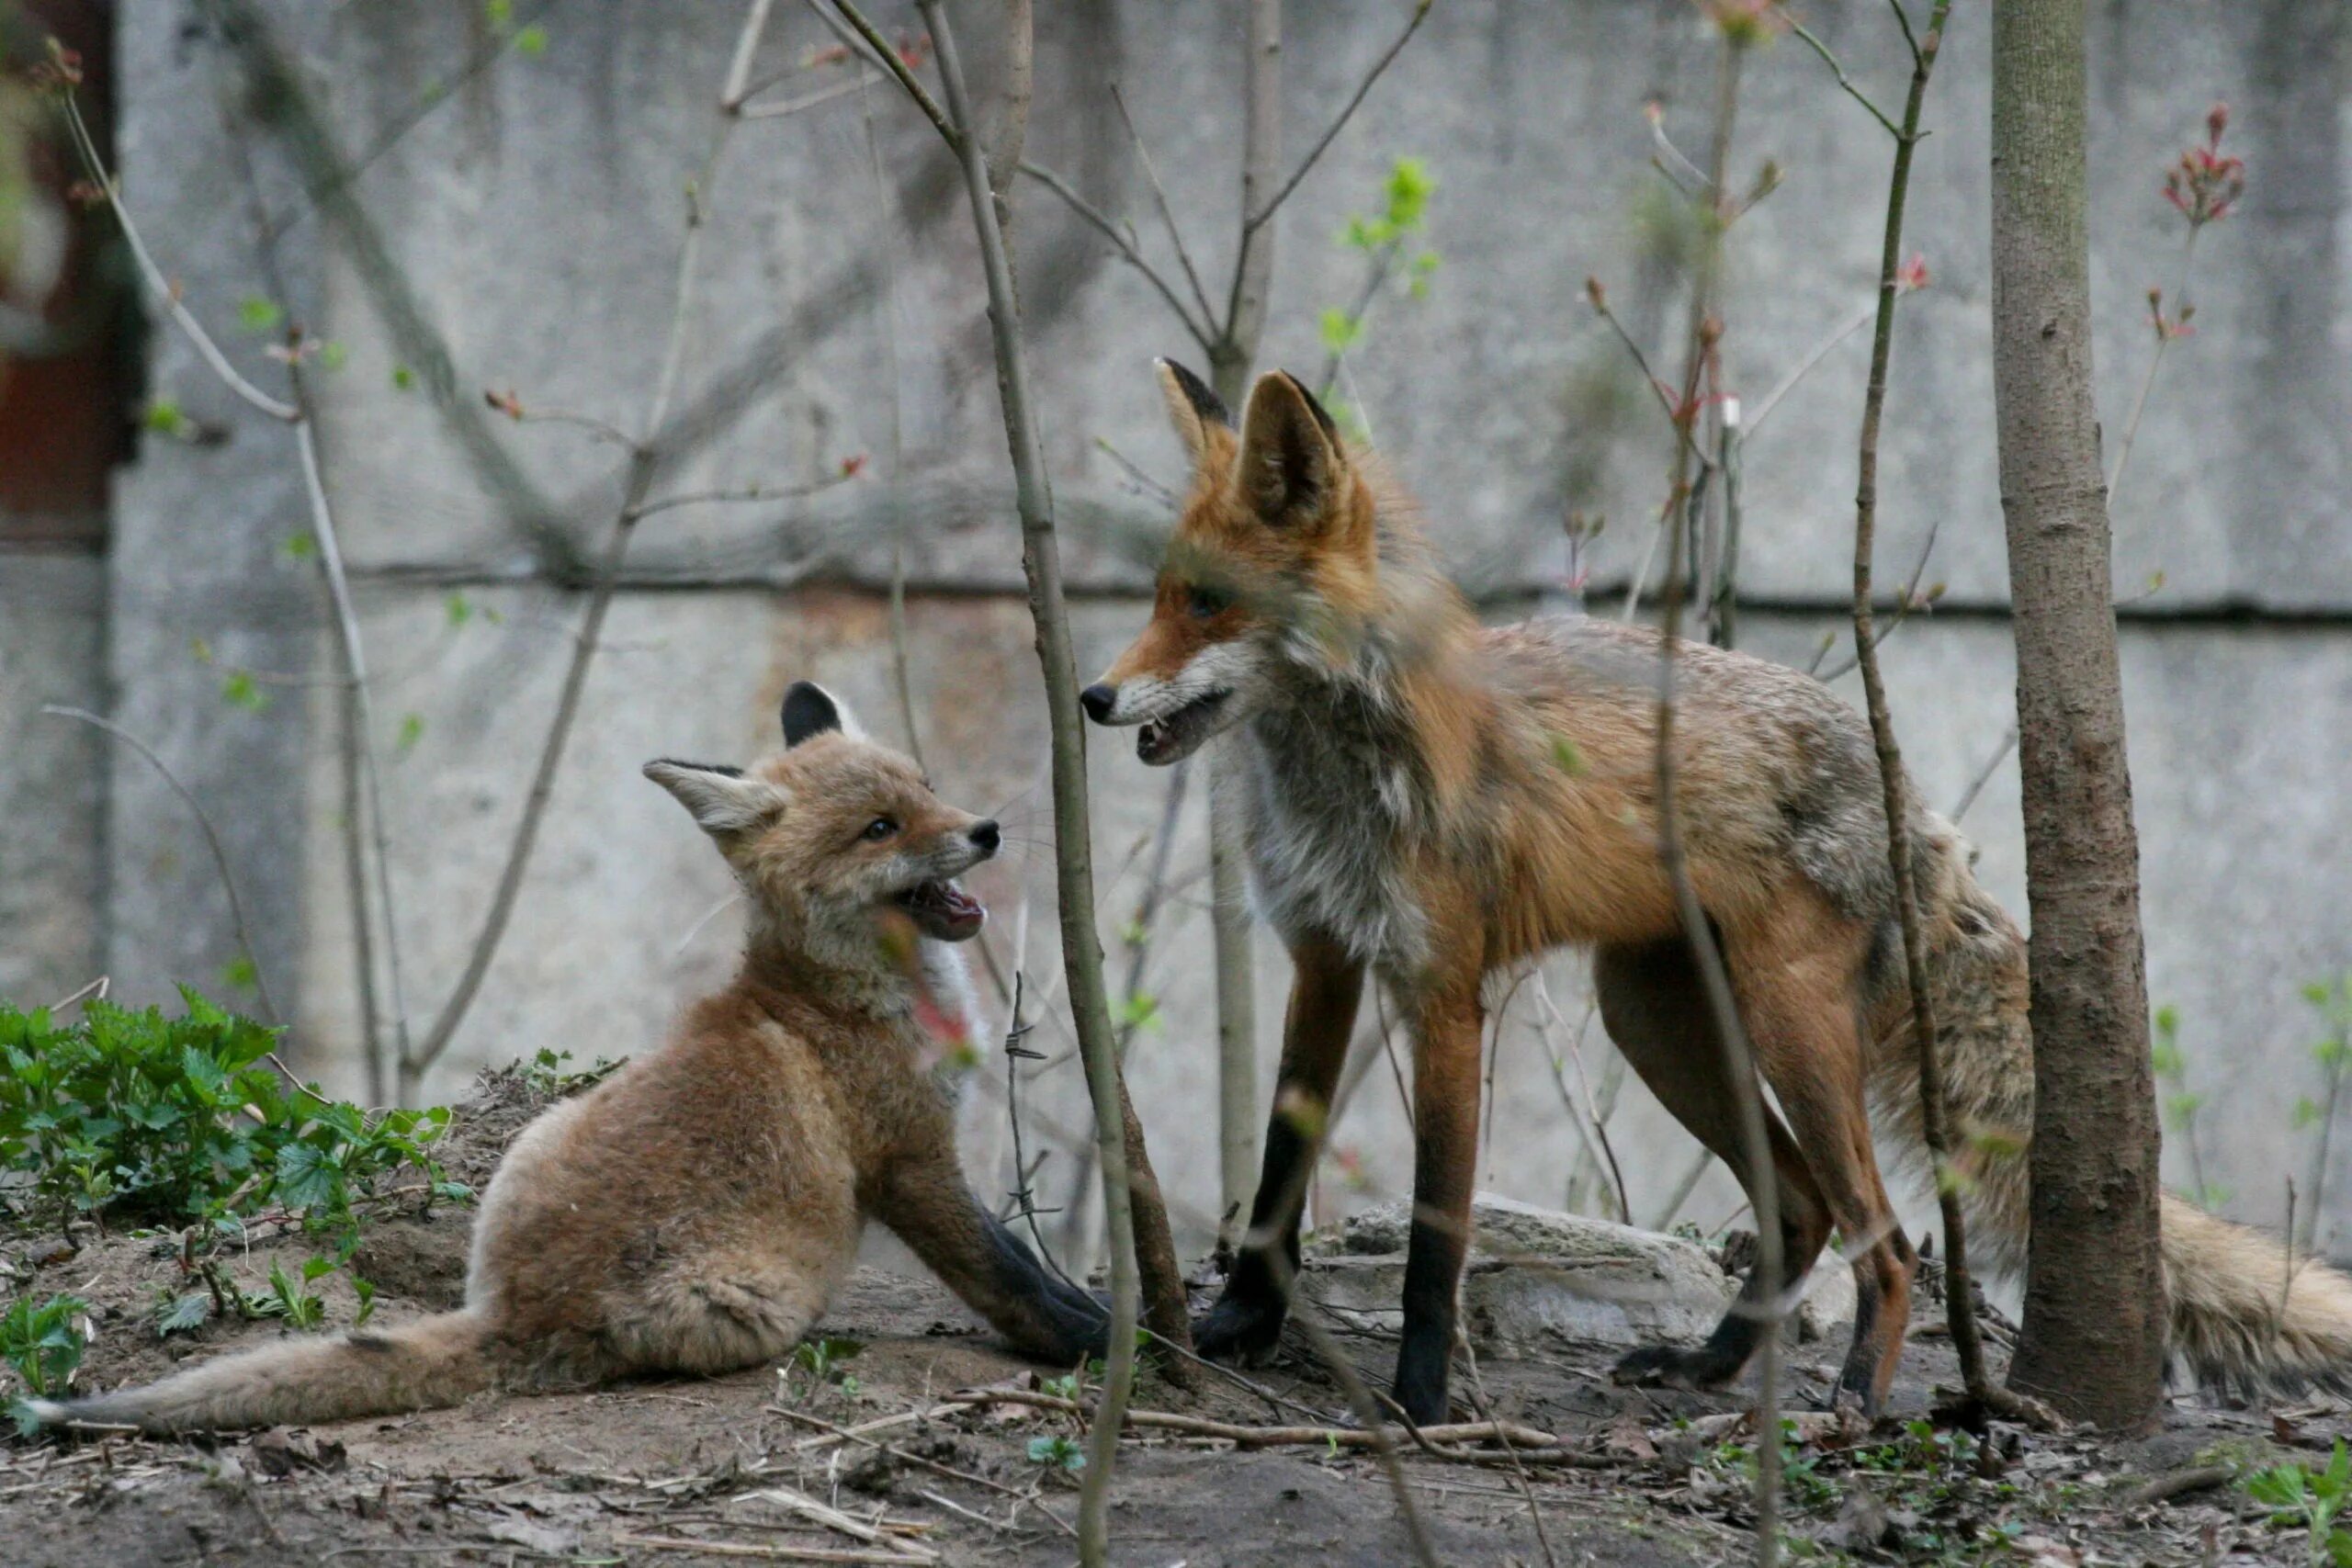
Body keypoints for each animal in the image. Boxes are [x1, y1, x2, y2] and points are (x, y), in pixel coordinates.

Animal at [29, 686, 1101, 1438]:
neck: (843, 996)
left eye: (926, 787)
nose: (987, 830)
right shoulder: (910, 1159)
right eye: (880, 828)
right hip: (757, 1301)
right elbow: (1013, 1277)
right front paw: (1110, 1343)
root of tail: (511, 1311)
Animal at [1077, 362, 2352, 1429]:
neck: (1332, 774)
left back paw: (1850, 1398)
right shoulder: (1324, 956)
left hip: (1783, 1030)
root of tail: (1909, 795)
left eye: (1207, 605)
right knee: (1798, 1213)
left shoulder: (1440, 989)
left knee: (1884, 1239)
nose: (1092, 697)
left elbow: (1437, 1232)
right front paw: (1237, 1323)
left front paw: (1422, 1401)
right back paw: (1707, 1368)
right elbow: (1275, 1174)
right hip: (1658, 1023)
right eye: (1159, 596)